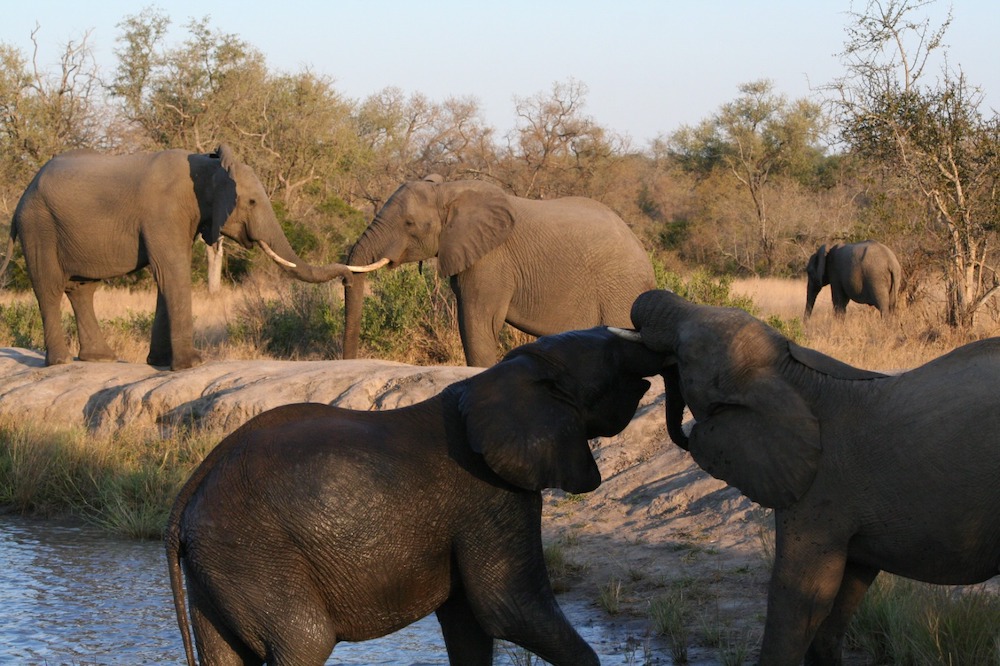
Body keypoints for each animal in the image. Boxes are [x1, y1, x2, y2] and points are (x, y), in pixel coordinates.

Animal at [1, 143, 384, 368]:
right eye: (252, 202)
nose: (349, 277)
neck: (206, 165)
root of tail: (22, 197)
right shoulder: (164, 212)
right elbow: (171, 271)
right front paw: (194, 364)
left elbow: (167, 276)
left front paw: (159, 363)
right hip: (39, 225)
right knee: (51, 287)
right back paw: (61, 363)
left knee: (82, 289)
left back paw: (100, 359)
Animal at [164, 326, 664, 664]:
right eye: (610, 354)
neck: (512, 371)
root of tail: (190, 491)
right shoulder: (492, 497)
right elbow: (509, 608)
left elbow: (469, 624)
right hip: (254, 553)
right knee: (304, 643)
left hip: (218, 566)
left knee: (225, 654)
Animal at [344, 174, 656, 366]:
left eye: (409, 223)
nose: (348, 359)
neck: (448, 191)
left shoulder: (491, 260)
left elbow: (478, 321)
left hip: (620, 289)